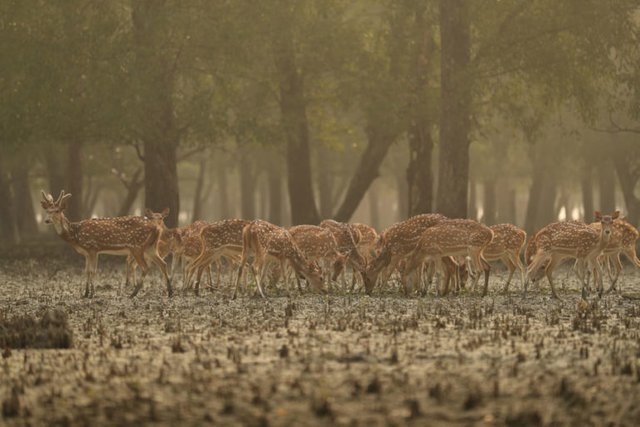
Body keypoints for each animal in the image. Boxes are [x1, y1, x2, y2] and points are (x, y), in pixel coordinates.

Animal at [41, 192, 174, 300]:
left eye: (57, 210)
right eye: (47, 211)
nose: (47, 220)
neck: (75, 235)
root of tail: (156, 228)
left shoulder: (93, 248)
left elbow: (93, 271)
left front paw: (92, 294)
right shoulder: (86, 253)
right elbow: (86, 271)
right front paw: (85, 293)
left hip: (137, 246)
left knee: (146, 267)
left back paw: (133, 294)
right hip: (150, 247)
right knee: (163, 263)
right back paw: (170, 292)